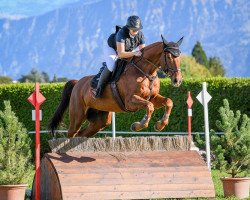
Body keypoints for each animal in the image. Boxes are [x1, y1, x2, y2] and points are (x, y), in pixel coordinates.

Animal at [48, 34, 183, 138]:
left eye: (179, 56)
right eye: (169, 57)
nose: (178, 80)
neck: (146, 72)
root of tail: (77, 83)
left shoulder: (152, 97)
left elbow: (168, 102)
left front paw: (160, 125)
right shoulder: (130, 101)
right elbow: (149, 106)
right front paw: (138, 126)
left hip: (100, 120)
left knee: (82, 133)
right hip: (77, 115)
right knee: (71, 133)